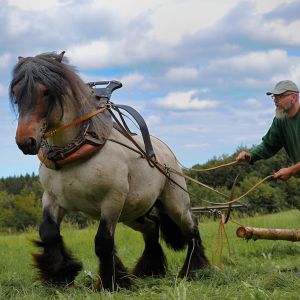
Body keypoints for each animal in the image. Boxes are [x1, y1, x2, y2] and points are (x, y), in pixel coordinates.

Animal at [9, 51, 209, 290]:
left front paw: (111, 282)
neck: (75, 153)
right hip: (134, 212)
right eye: (15, 92)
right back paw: (150, 270)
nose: (25, 141)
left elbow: (103, 241)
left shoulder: (112, 200)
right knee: (152, 229)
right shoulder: (51, 198)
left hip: (174, 204)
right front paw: (60, 275)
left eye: (47, 91)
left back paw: (194, 269)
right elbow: (48, 233)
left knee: (192, 228)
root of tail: (166, 150)